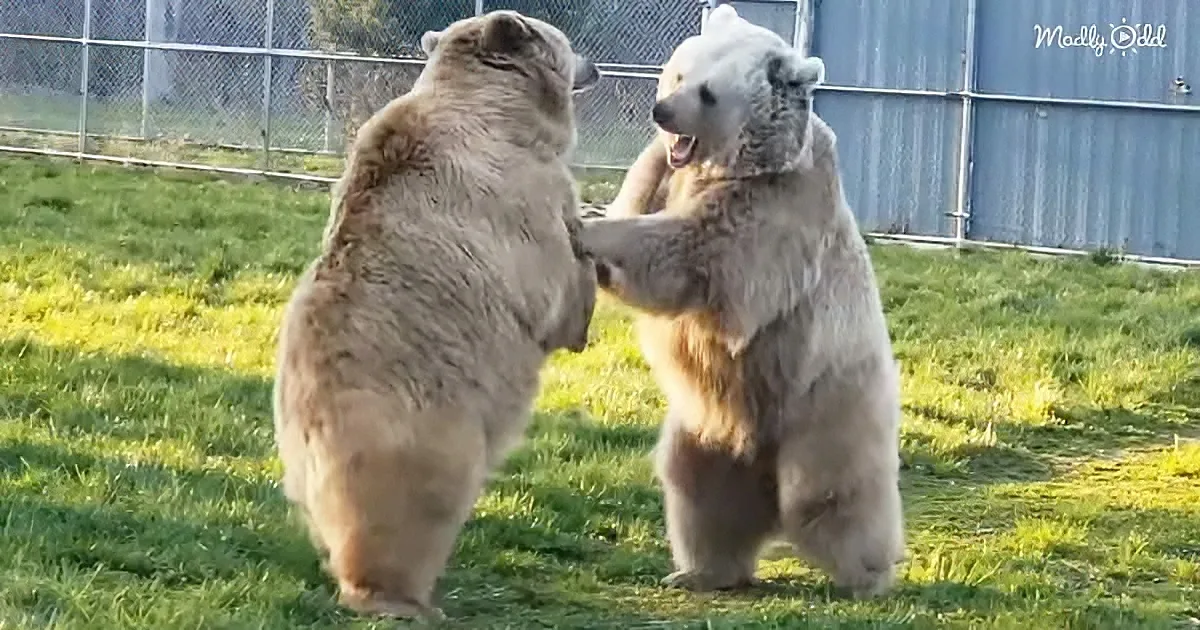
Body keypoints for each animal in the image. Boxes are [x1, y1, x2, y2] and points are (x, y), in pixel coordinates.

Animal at [271, 10, 601, 620]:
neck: (503, 106)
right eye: (564, 41)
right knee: (408, 521)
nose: (593, 66)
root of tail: (310, 436)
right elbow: (553, 284)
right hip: (426, 440)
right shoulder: (518, 194)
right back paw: (405, 600)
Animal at [578, 4, 906, 598]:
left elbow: (690, 253)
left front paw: (589, 230)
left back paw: (867, 575)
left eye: (708, 93)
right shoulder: (660, 173)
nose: (662, 111)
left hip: (827, 398)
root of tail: (762, 457)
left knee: (836, 492)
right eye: (678, 73)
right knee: (699, 489)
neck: (730, 164)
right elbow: (638, 202)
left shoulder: (775, 209)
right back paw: (701, 570)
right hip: (706, 424)